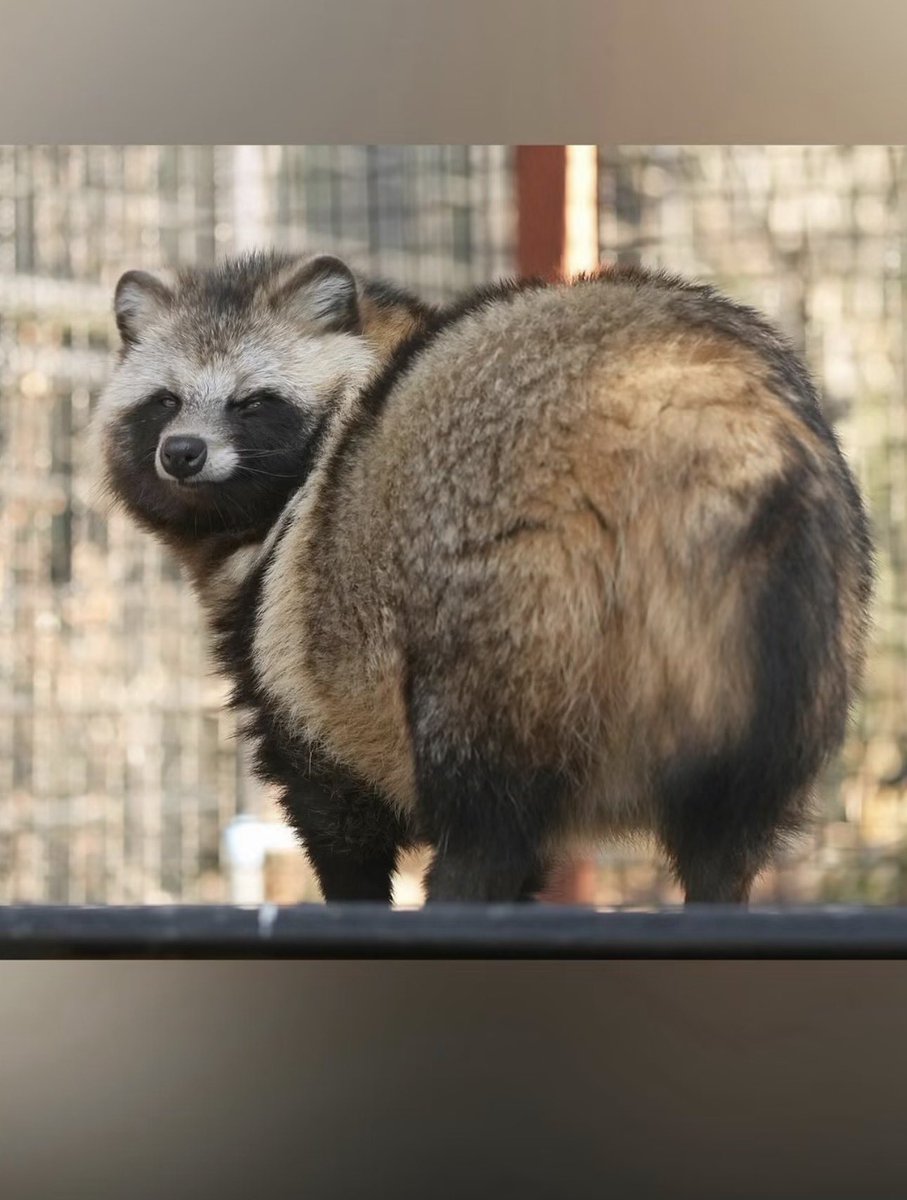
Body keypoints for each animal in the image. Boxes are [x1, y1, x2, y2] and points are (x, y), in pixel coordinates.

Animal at [92, 251, 874, 905]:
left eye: (253, 402)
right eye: (164, 401)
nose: (182, 453)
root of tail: (689, 401)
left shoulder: (302, 679)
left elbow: (340, 826)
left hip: (501, 624)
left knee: (484, 827)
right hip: (787, 644)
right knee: (725, 841)